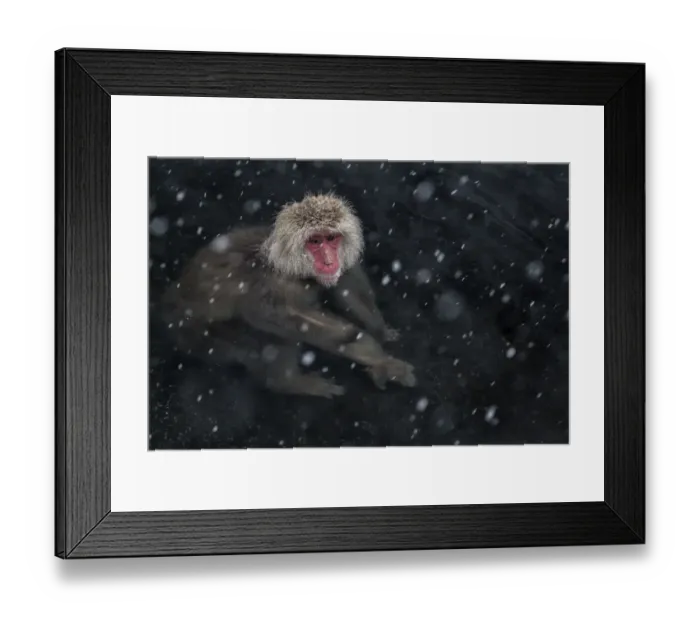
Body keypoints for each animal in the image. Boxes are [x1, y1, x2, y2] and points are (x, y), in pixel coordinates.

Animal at [160, 192, 416, 398]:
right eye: (315, 241)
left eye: (331, 239)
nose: (329, 260)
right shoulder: (276, 282)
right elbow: (265, 313)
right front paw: (373, 353)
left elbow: (347, 287)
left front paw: (380, 335)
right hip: (207, 338)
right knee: (271, 333)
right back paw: (288, 383)